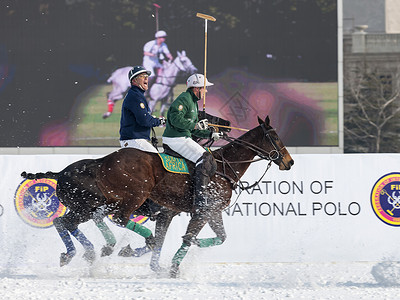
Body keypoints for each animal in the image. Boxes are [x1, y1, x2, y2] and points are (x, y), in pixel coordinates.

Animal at [21, 116, 294, 278]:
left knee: (65, 221)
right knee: (110, 219)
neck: (224, 167)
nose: (289, 162)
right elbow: (186, 238)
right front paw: (172, 267)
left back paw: (85, 252)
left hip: (95, 205)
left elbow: (218, 238)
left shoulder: (195, 212)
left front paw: (158, 264)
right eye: (274, 136)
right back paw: (97, 250)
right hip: (126, 197)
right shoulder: (202, 211)